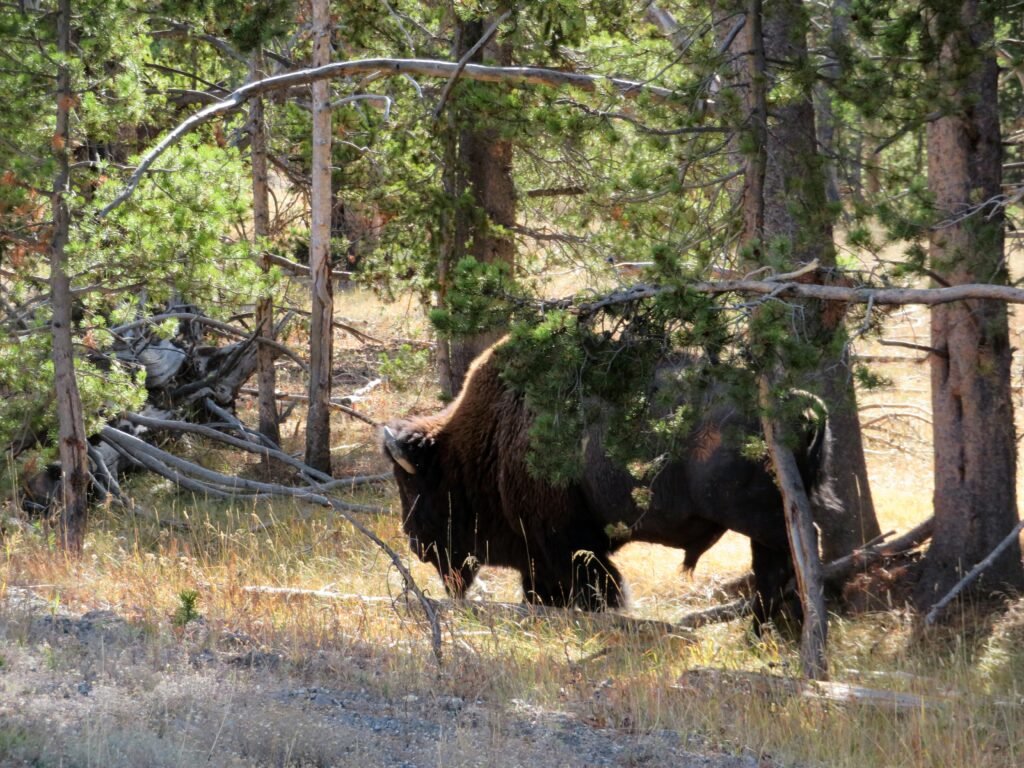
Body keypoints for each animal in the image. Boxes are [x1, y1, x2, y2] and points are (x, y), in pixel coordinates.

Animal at [383, 341, 836, 629]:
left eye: (415, 486)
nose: (414, 542)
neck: (485, 439)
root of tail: (798, 403)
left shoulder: (564, 543)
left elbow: (596, 586)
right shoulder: (544, 552)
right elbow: (545, 590)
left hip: (758, 516)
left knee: (791, 555)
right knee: (775, 565)